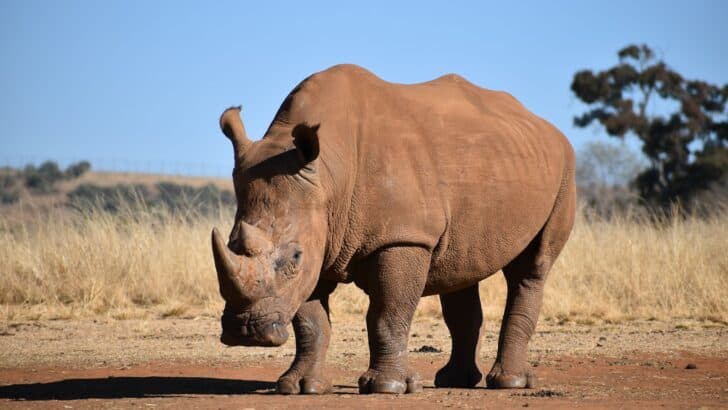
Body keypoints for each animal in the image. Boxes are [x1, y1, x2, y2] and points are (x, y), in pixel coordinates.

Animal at [212, 64, 575, 394]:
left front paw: (388, 387)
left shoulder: (402, 237)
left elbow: (387, 314)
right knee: (460, 270)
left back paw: (509, 383)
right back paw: (454, 381)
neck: (330, 175)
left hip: (564, 171)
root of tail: (545, 125)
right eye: (230, 243)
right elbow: (310, 321)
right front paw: (301, 387)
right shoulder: (320, 235)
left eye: (294, 258)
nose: (244, 332)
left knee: (531, 269)